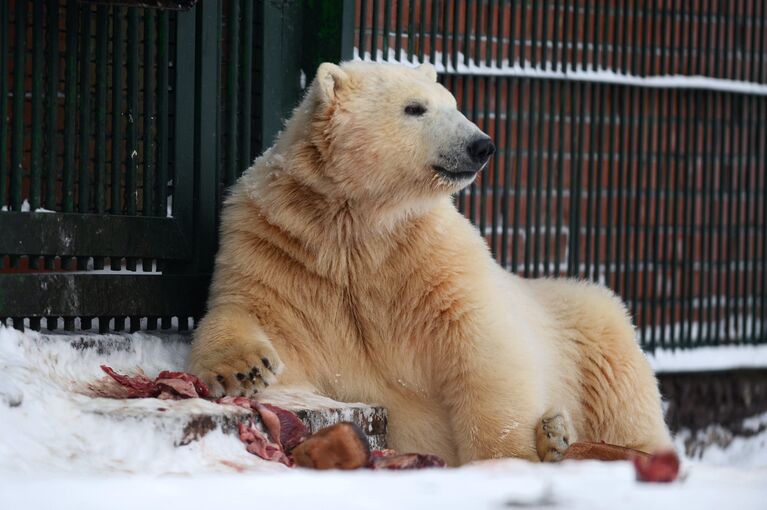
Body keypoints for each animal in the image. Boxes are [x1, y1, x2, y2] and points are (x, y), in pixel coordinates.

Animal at [189, 61, 676, 464]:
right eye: (415, 108)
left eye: (453, 104)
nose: (482, 144)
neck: (357, 228)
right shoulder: (283, 247)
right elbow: (256, 313)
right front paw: (246, 369)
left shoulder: (432, 261)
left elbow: (484, 349)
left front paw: (505, 459)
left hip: (592, 330)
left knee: (623, 393)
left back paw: (563, 439)